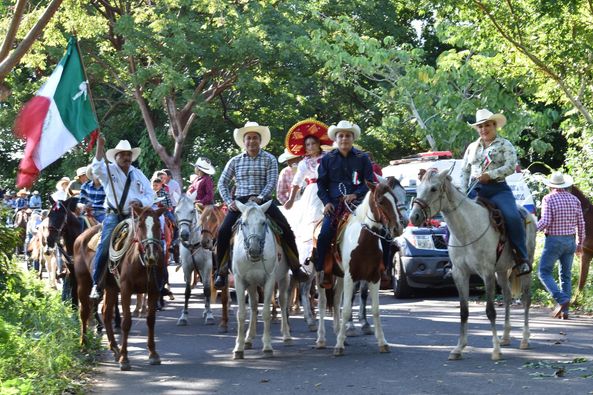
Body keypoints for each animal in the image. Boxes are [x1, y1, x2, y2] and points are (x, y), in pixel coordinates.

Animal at [175, 193, 214, 326]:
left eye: (192, 211)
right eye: (176, 211)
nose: (184, 234)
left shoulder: (207, 266)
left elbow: (207, 290)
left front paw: (209, 315)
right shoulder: (187, 267)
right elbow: (187, 291)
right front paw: (183, 316)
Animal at [230, 203, 290, 360]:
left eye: (263, 223)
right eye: (244, 223)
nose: (254, 249)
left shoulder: (269, 280)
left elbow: (266, 313)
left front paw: (268, 347)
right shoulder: (239, 281)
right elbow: (241, 314)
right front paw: (238, 348)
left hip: (284, 278)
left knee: (282, 302)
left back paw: (287, 336)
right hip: (252, 284)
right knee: (254, 305)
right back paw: (248, 339)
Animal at [410, 169, 536, 360]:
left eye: (433, 189)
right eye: (418, 188)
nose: (414, 217)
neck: (467, 231)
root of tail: (528, 214)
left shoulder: (487, 273)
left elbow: (490, 311)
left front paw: (495, 350)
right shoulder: (460, 273)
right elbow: (464, 311)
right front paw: (458, 348)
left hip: (525, 266)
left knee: (526, 299)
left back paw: (524, 339)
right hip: (501, 270)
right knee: (507, 296)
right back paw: (506, 337)